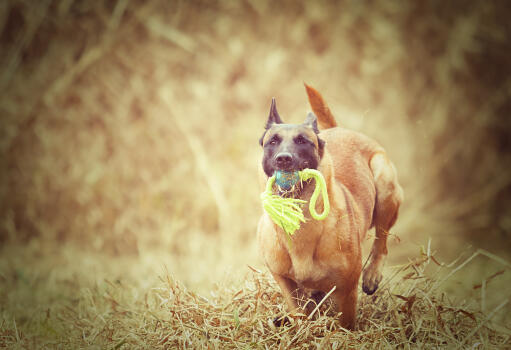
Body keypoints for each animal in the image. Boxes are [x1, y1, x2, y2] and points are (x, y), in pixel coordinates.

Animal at [256, 83, 404, 330]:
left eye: (302, 141)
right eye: (273, 141)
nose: (283, 159)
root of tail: (339, 128)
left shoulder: (347, 288)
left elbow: (346, 322)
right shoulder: (285, 281)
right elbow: (299, 313)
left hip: (384, 183)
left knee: (381, 241)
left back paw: (372, 275)